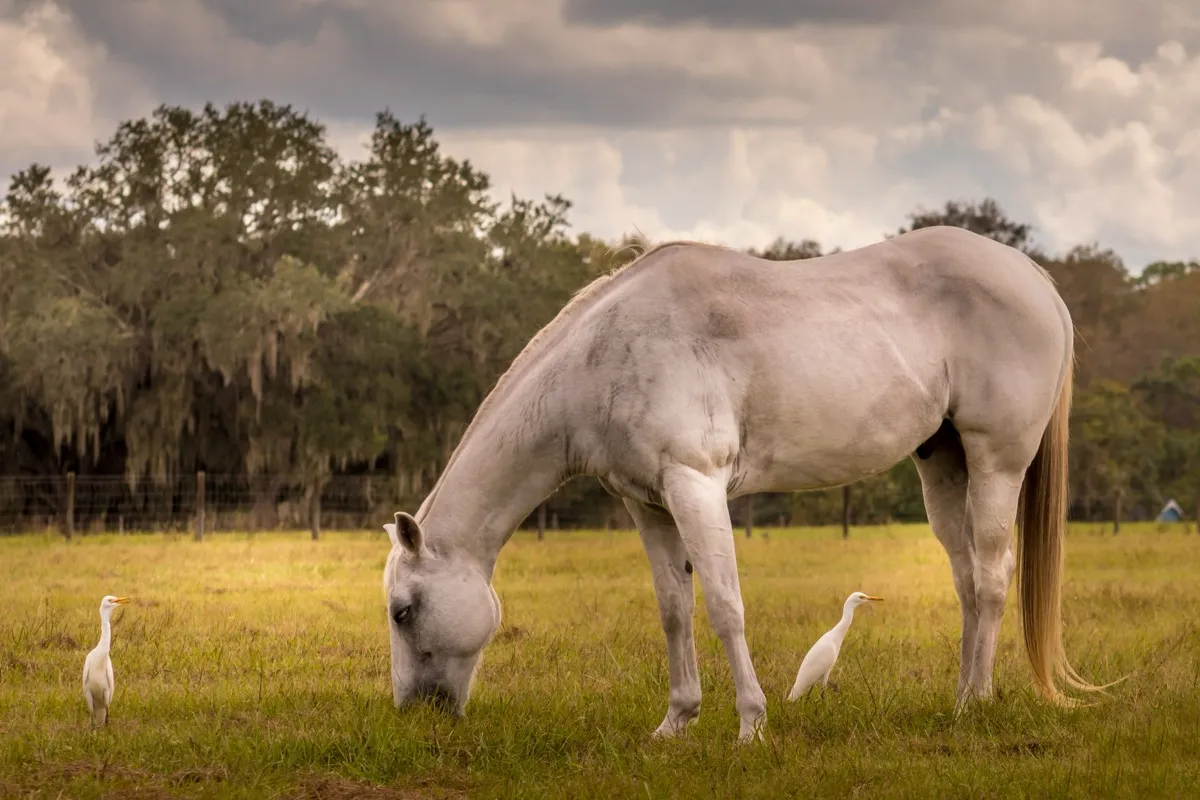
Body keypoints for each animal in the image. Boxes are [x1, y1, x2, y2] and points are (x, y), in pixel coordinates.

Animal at [380, 224, 1105, 743]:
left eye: (402, 610)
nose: (414, 713)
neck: (607, 351)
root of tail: (1034, 277)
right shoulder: (647, 504)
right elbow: (674, 611)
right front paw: (675, 722)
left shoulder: (694, 486)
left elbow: (726, 606)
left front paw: (750, 724)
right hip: (944, 464)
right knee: (966, 580)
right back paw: (959, 697)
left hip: (996, 461)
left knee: (992, 576)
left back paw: (974, 705)